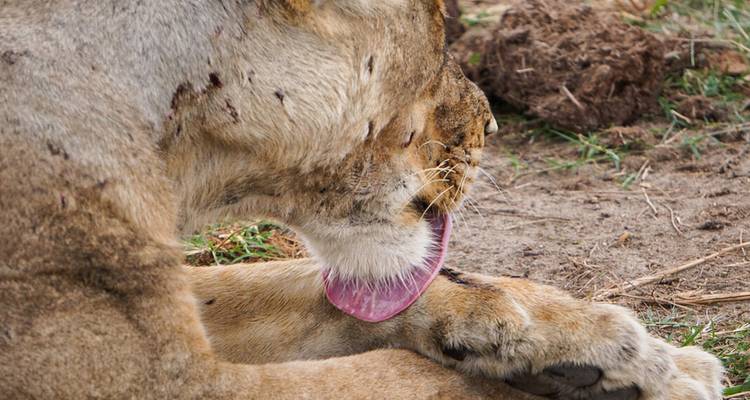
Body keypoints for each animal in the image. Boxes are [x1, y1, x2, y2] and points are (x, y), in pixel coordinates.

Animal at [0, 0, 722, 399]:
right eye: (441, 33)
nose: (492, 125)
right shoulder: (154, 381)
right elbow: (424, 381)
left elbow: (288, 284)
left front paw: (625, 353)